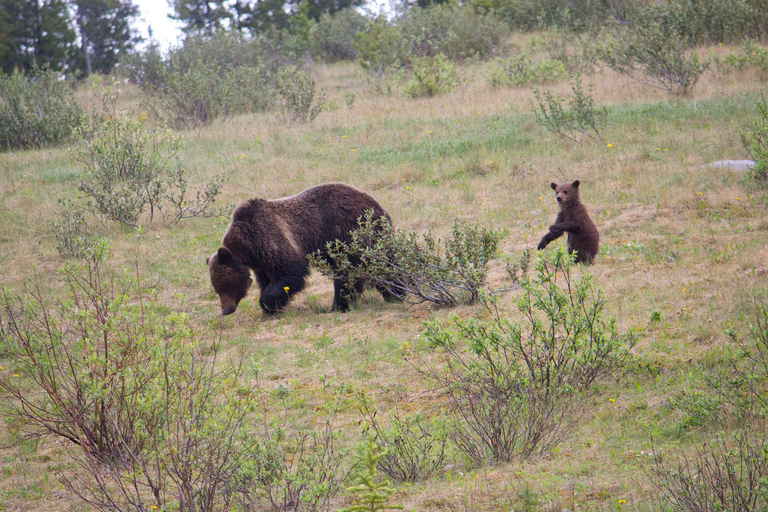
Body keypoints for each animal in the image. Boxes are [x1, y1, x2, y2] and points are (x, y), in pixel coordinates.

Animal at [207, 182, 396, 315]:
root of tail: (377, 205)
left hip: (350, 233)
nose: (226, 310)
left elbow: (291, 272)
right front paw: (272, 307)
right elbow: (266, 279)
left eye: (225, 287)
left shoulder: (273, 239)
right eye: (217, 288)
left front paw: (267, 304)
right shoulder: (262, 261)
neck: (249, 247)